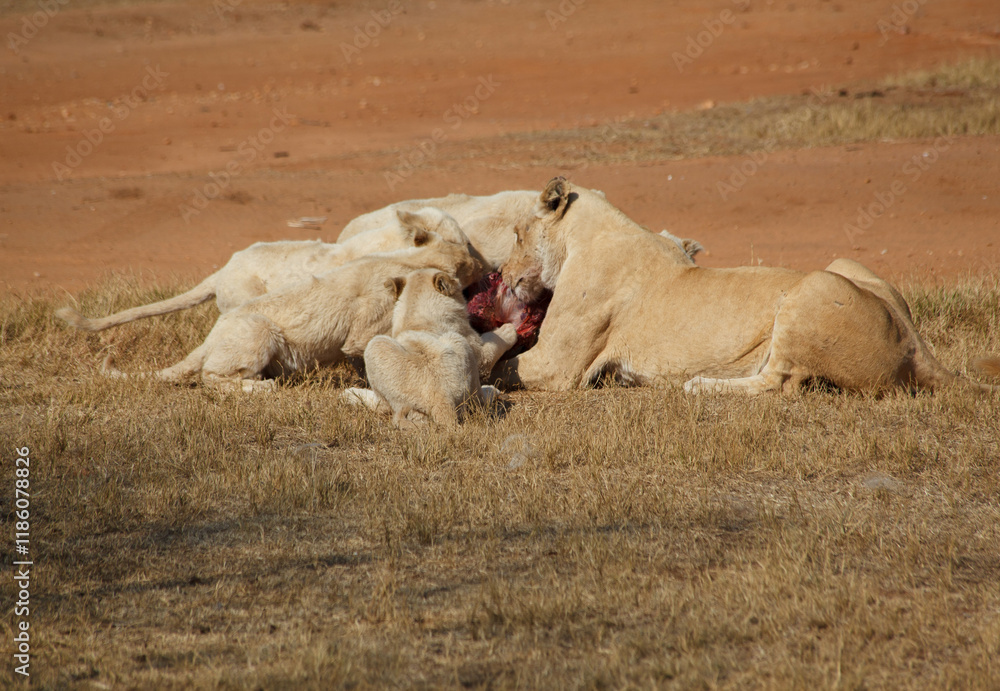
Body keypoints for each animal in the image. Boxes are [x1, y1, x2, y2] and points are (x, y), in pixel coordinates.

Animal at [99, 232, 482, 392]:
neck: (410, 260)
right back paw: (261, 388)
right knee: (211, 377)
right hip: (259, 331)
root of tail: (211, 338)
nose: (484, 268)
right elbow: (367, 351)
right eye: (470, 260)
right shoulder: (363, 332)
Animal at [343, 269, 518, 428]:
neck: (416, 316)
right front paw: (509, 329)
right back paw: (491, 390)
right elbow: (492, 344)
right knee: (477, 398)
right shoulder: (476, 350)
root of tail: (441, 400)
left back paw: (349, 393)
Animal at [496, 177, 1000, 394]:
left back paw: (700, 385)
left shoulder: (557, 366)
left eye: (517, 234)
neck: (588, 234)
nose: (502, 275)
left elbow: (505, 368)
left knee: (779, 385)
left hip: (810, 290)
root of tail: (914, 343)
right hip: (843, 264)